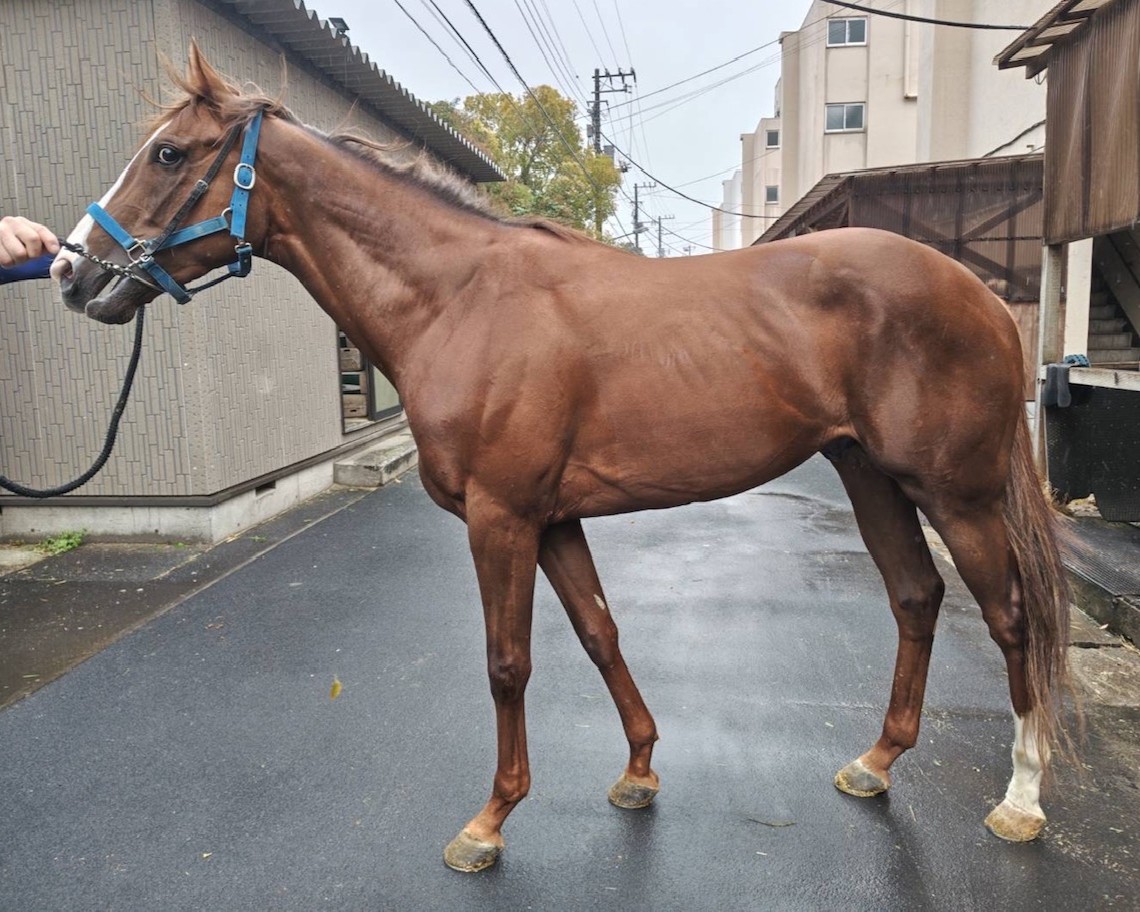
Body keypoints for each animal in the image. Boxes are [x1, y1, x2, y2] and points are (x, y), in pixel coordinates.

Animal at [53, 44, 1071, 873]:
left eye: (170, 154)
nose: (71, 270)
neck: (460, 299)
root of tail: (977, 291)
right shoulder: (554, 519)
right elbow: (599, 633)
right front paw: (639, 772)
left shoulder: (501, 517)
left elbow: (509, 662)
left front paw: (489, 823)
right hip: (871, 477)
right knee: (917, 597)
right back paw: (876, 762)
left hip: (956, 494)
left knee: (1010, 615)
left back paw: (1022, 798)